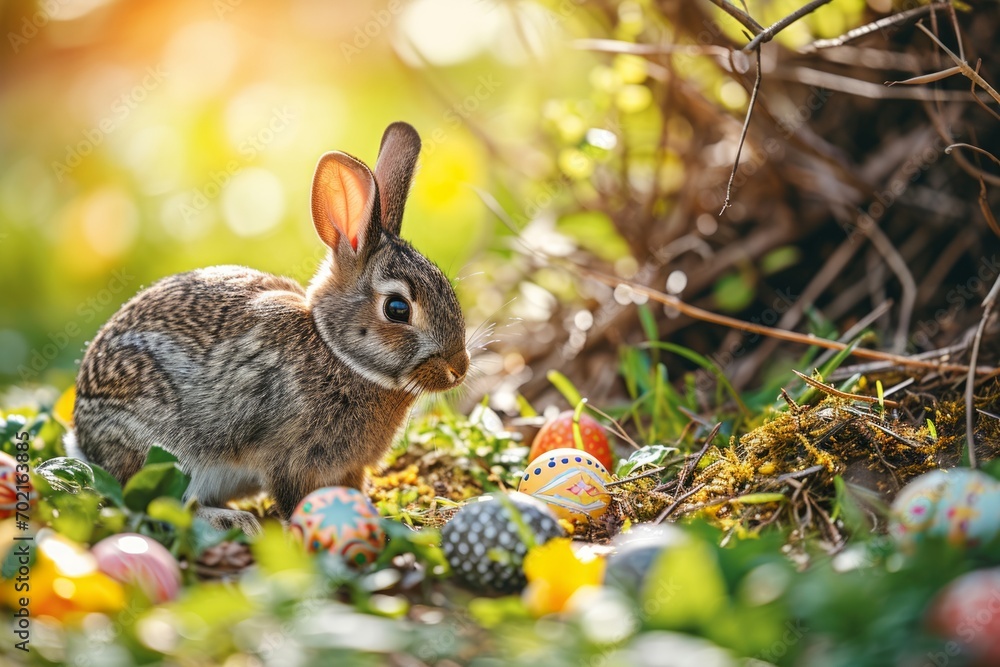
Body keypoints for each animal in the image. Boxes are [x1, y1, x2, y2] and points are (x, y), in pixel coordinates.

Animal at [71, 122, 470, 535]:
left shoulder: (349, 468)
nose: (459, 368)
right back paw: (233, 520)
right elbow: (292, 496)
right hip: (163, 449)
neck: (336, 352)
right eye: (397, 309)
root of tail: (84, 438)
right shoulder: (289, 459)